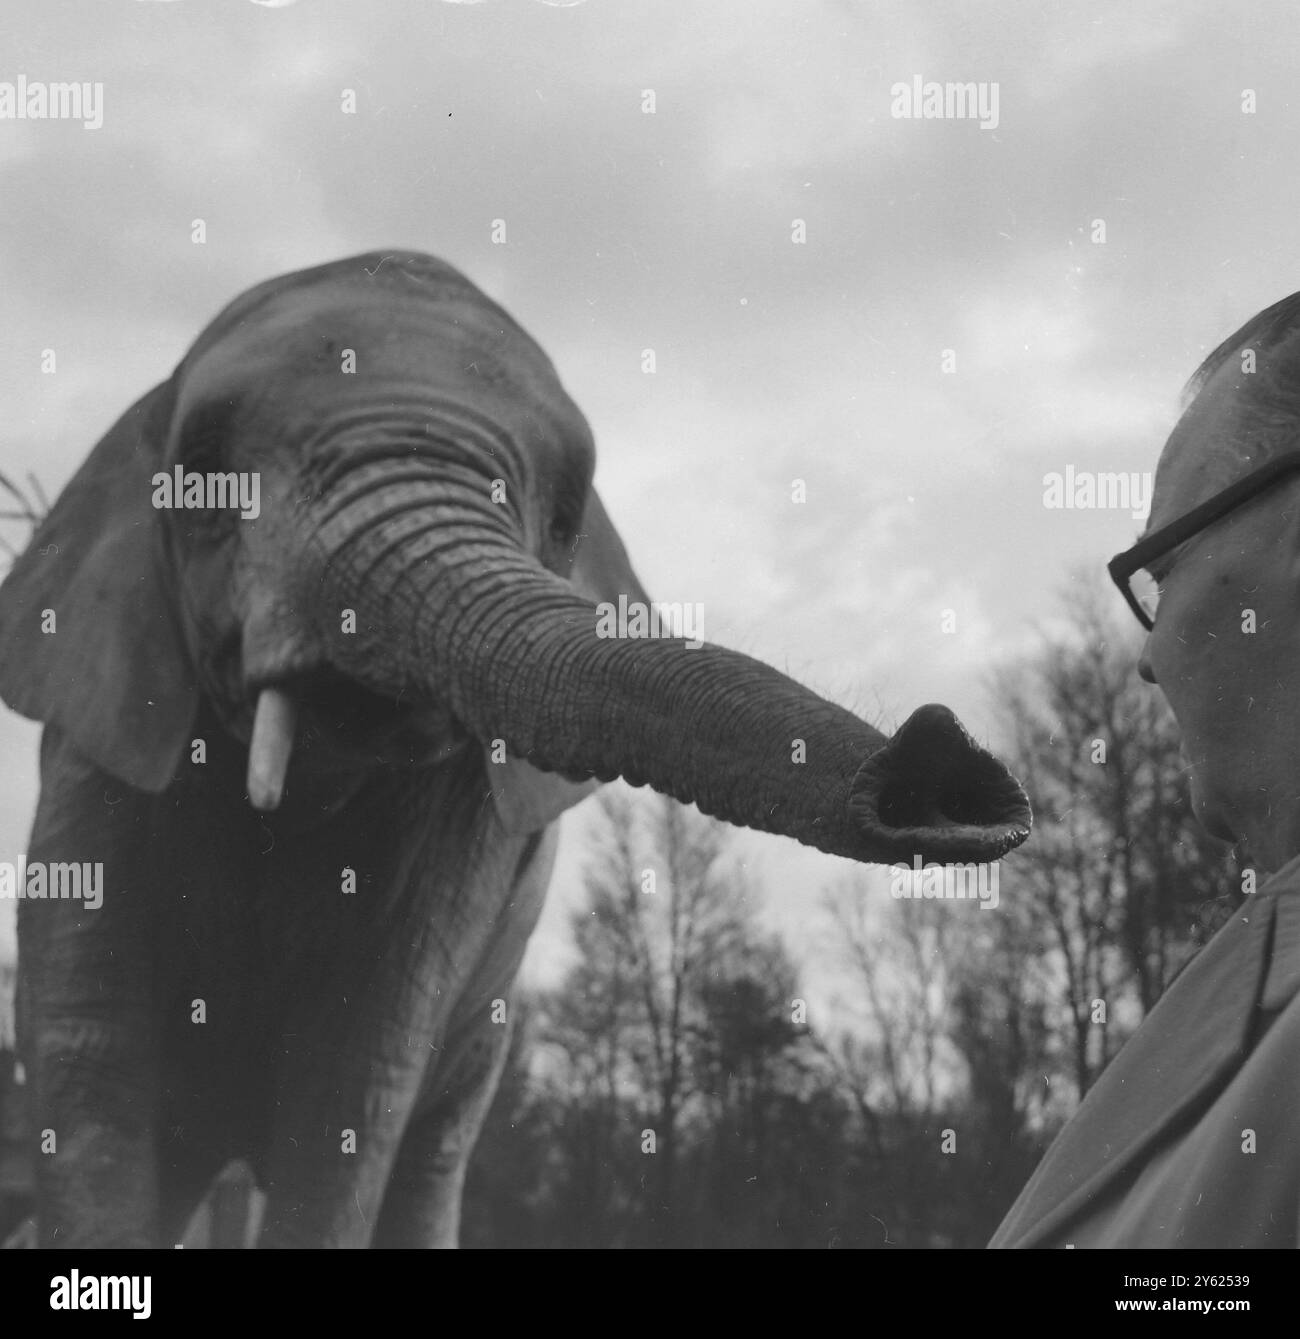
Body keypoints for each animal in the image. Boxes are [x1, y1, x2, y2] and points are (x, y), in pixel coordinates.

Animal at [0, 249, 1038, 1242]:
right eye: (204, 469)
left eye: (567, 515)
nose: (942, 763)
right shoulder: (95, 735)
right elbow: (91, 1054)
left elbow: (354, 1074)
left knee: (424, 1156)